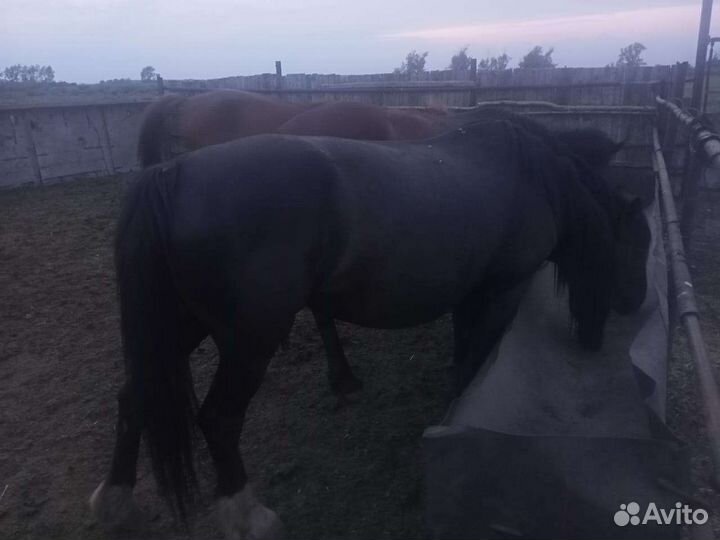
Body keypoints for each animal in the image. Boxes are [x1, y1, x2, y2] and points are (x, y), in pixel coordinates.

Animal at [90, 119, 650, 539]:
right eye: (639, 243)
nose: (635, 303)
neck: (534, 179)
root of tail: (173, 172)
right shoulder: (500, 292)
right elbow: (471, 364)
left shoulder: (471, 295)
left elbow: (462, 357)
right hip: (249, 342)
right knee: (219, 420)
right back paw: (248, 517)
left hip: (178, 329)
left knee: (133, 397)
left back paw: (115, 503)